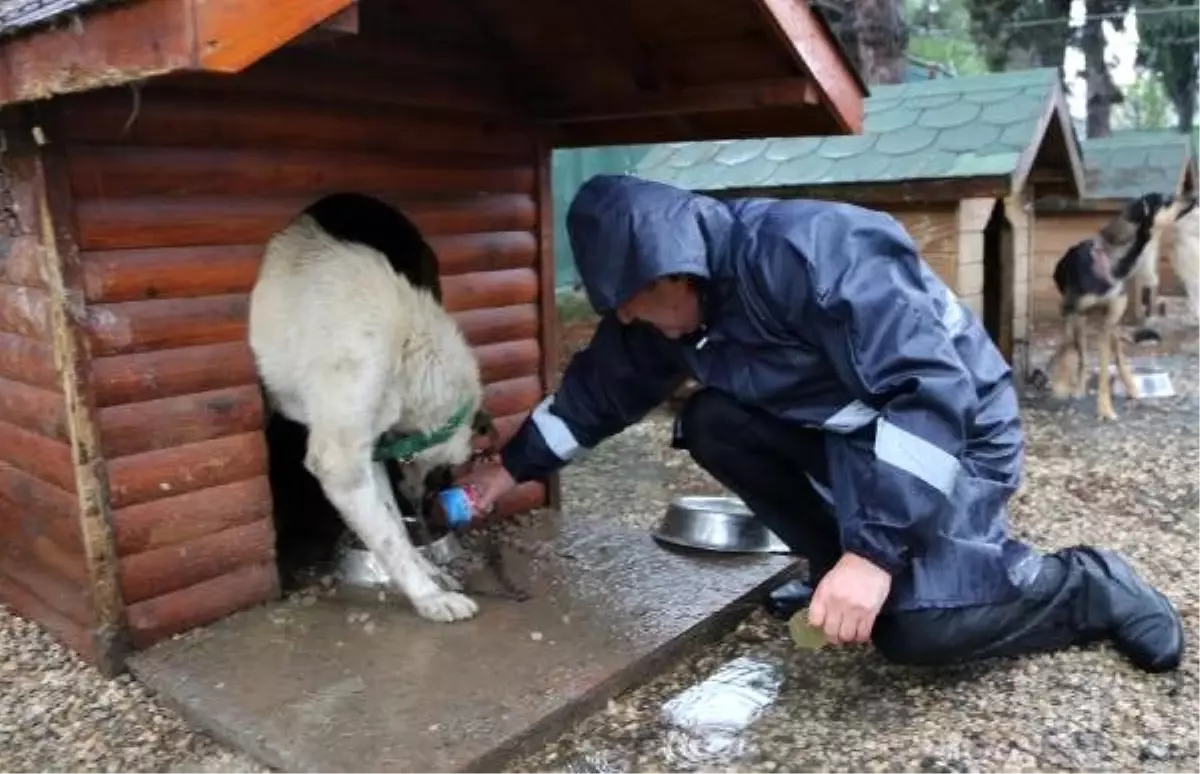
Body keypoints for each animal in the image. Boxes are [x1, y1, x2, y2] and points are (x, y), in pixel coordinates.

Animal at [248, 193, 492, 624]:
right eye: (445, 471)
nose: (425, 513)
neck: (407, 345)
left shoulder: (370, 452)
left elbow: (392, 522)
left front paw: (429, 568)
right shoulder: (340, 463)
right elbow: (390, 538)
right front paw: (429, 595)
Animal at [1046, 193, 1176, 422]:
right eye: (1166, 200)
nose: (1194, 197)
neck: (1113, 264)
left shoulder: (1108, 321)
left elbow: (1107, 369)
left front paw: (1105, 409)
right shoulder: (1071, 312)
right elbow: (1070, 350)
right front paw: (1063, 385)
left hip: (1110, 324)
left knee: (1119, 355)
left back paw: (1131, 386)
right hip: (1079, 320)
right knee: (1080, 351)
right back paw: (1078, 386)